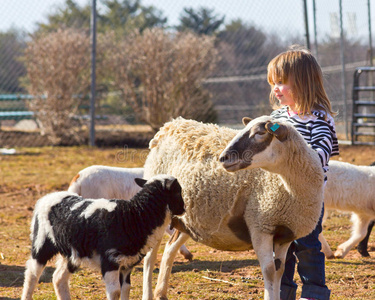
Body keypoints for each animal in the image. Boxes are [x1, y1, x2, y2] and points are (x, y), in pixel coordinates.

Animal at [20, 175, 185, 298]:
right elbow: (115, 292)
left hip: (73, 253)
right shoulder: (110, 261)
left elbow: (126, 289)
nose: (183, 209)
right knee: (31, 275)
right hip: (41, 243)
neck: (133, 215)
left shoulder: (126, 264)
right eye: (178, 191)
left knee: (58, 279)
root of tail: (47, 197)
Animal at [142, 115, 324, 300]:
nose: (223, 158)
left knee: (169, 249)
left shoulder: (285, 235)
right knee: (150, 257)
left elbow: (279, 271)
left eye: (260, 133)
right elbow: (269, 271)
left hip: (187, 220)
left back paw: (161, 293)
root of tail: (170, 125)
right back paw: (148, 294)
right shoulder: (260, 227)